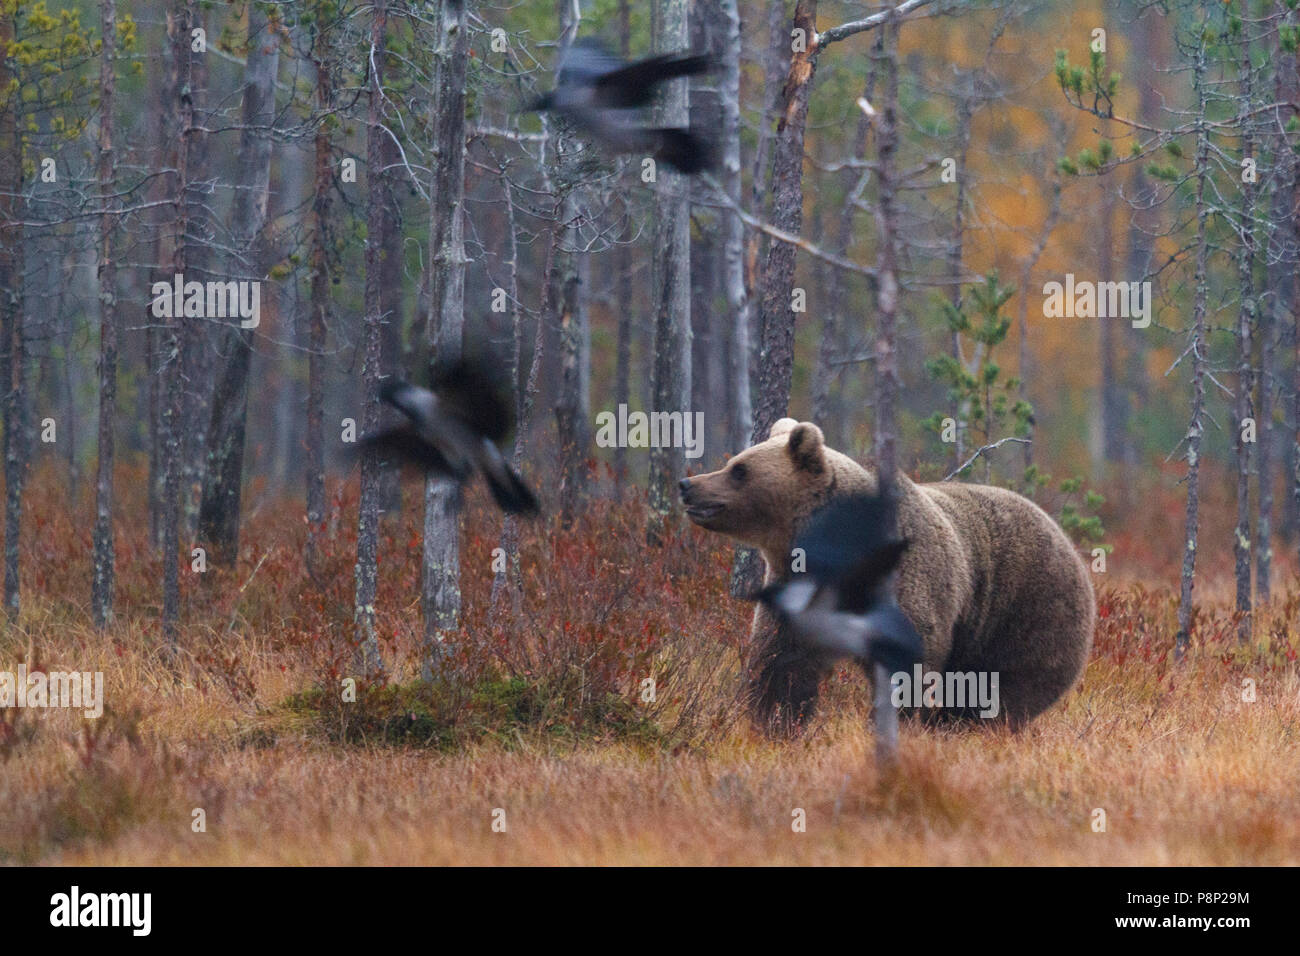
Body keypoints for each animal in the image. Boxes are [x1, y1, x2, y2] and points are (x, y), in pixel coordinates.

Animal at [681, 416, 1097, 733]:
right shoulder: (796, 592)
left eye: (739, 470)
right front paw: (773, 723)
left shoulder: (906, 584)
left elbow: (908, 660)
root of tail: (1063, 535)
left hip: (1024, 606)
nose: (687, 485)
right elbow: (780, 661)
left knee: (1001, 685)